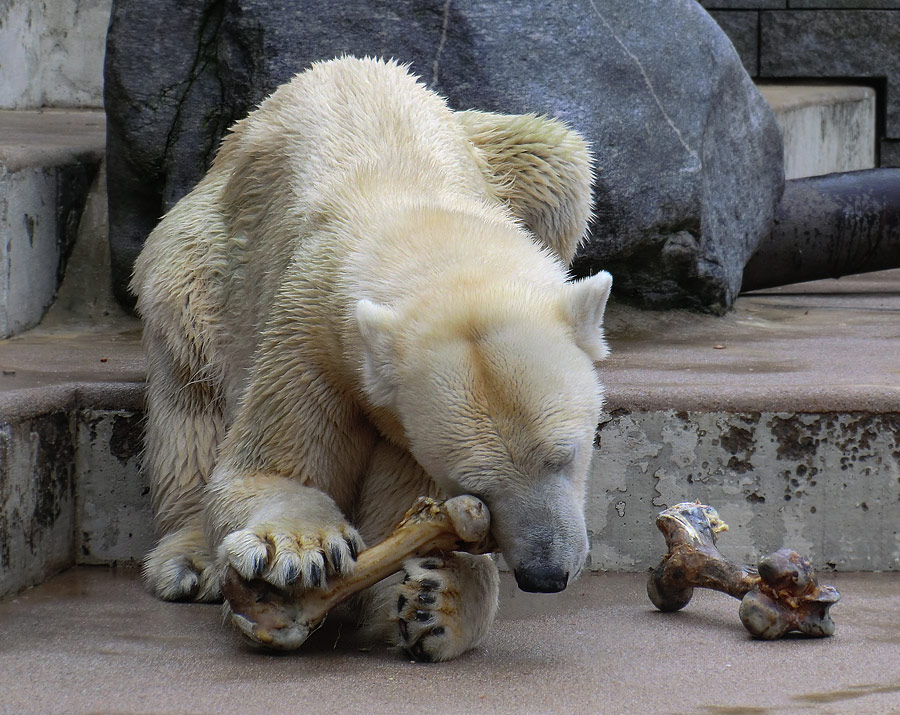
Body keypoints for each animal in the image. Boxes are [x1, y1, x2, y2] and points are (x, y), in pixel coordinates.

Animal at [134, 53, 612, 664]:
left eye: (566, 454)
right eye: (473, 484)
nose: (546, 574)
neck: (419, 221)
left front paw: (438, 600)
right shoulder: (313, 333)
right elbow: (262, 469)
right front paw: (296, 548)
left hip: (508, 154)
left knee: (557, 157)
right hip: (195, 266)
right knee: (191, 396)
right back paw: (191, 561)